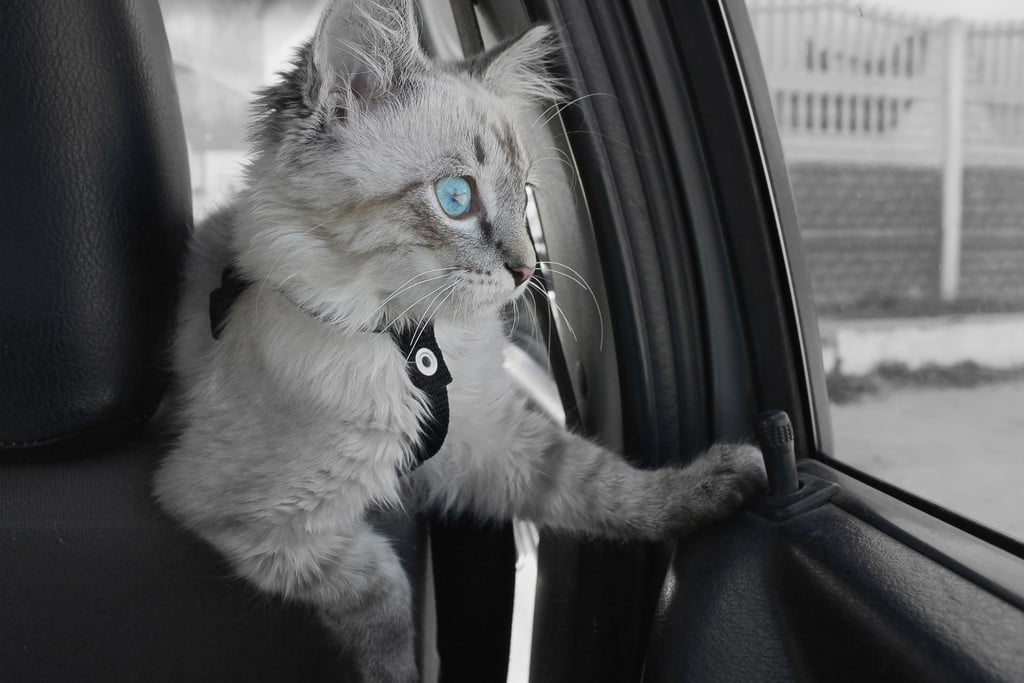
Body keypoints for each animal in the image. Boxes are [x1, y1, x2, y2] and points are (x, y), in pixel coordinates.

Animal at [153, 0, 770, 679]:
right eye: (456, 198)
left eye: (524, 196)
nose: (528, 271)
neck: (413, 342)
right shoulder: (258, 520)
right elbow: (386, 596)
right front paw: (403, 672)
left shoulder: (489, 438)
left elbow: (605, 485)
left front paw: (720, 485)